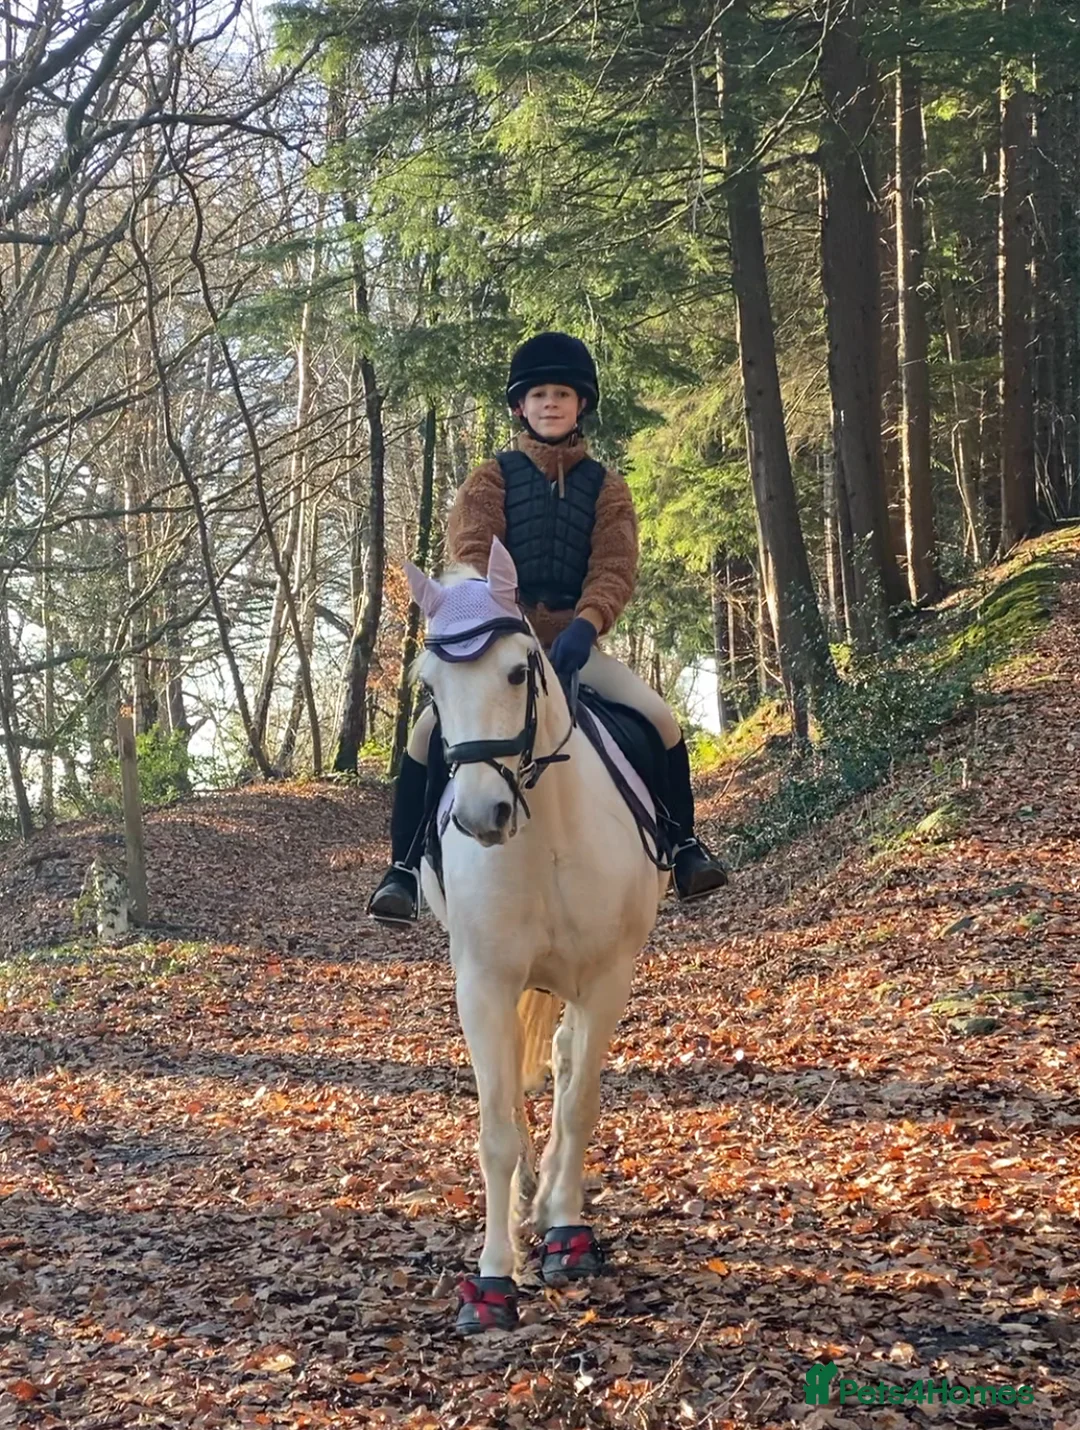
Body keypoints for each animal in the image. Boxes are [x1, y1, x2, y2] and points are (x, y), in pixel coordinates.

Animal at [405, 536, 667, 1333]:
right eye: (430, 688)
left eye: (519, 670)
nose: (480, 814)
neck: (545, 830)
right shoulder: (484, 985)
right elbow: (493, 1128)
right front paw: (494, 1279)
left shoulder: (607, 978)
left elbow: (579, 1104)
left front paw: (565, 1234)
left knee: (563, 1064)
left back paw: (551, 1203)